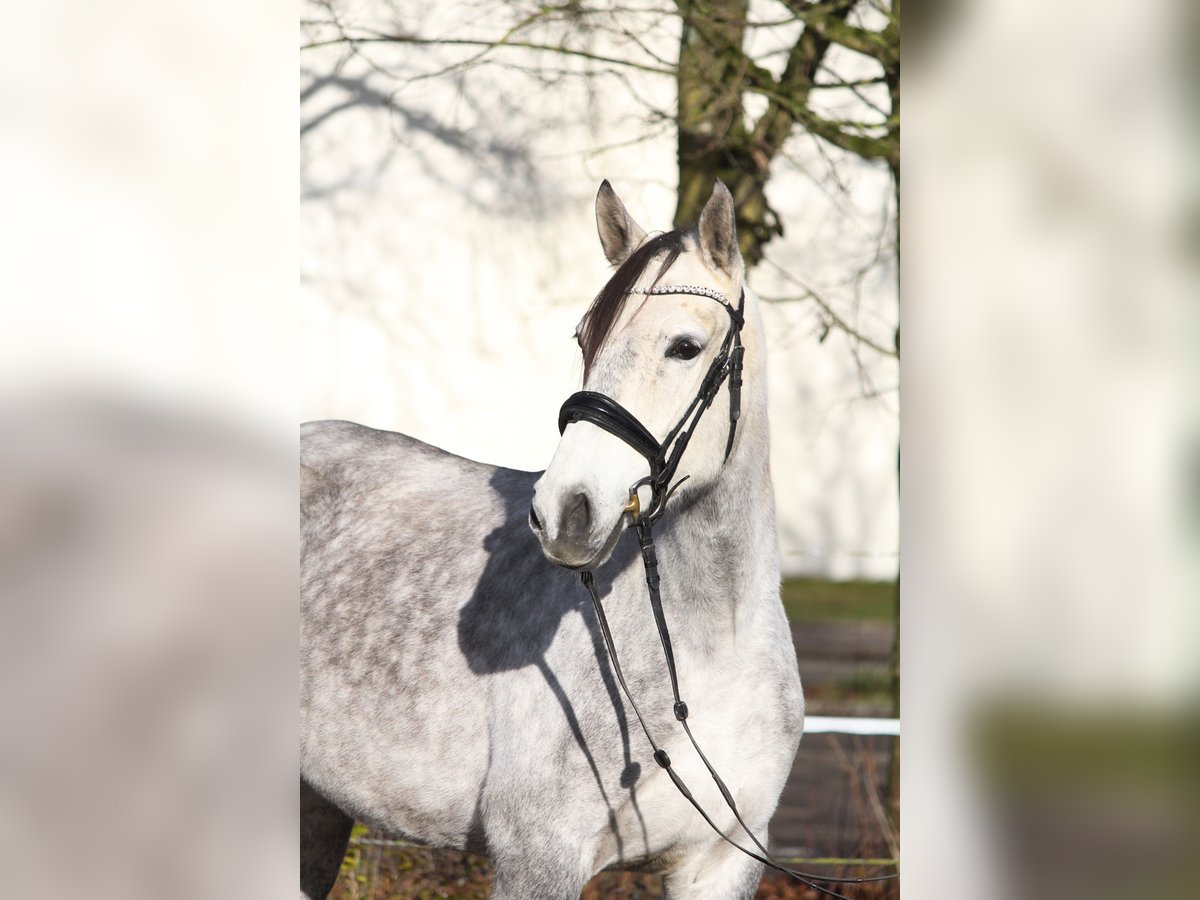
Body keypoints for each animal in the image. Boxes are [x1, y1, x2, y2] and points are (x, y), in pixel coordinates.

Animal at [302, 183, 806, 900]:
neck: (713, 645)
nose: (564, 509)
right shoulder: (539, 860)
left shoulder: (722, 863)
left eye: (685, 347)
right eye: (585, 337)